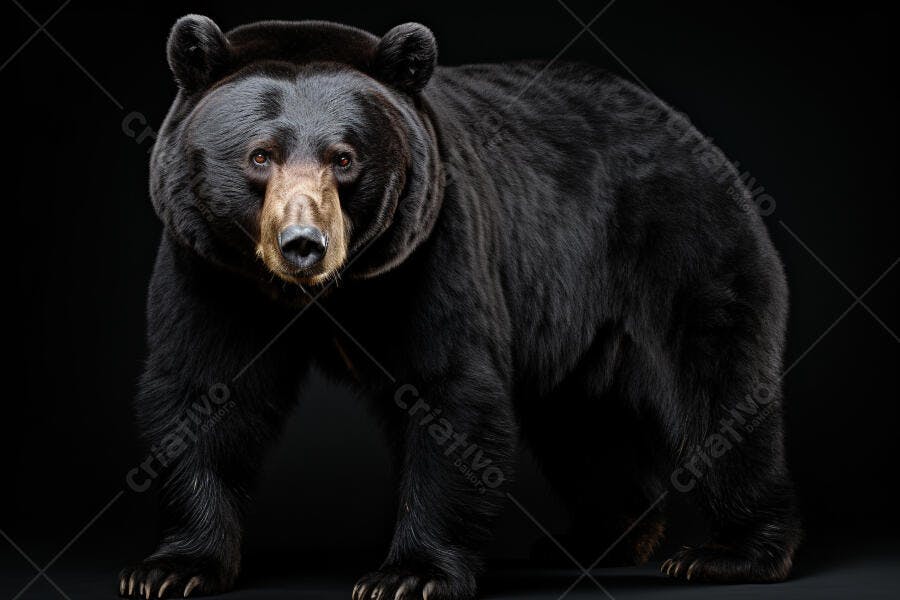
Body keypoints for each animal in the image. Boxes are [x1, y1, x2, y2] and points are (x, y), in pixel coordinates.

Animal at [119, 14, 801, 599]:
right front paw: (171, 568)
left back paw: (729, 552)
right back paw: (599, 537)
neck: (323, 294)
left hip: (683, 245)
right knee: (582, 425)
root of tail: (683, 126)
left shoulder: (434, 249)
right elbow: (202, 388)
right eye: (260, 155)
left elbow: (448, 386)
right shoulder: (212, 269)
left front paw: (409, 574)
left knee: (714, 389)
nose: (304, 243)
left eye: (344, 158)